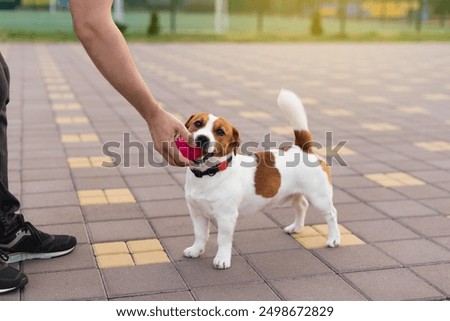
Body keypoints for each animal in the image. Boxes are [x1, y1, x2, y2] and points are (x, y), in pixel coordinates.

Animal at [181, 89, 340, 268]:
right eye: (198, 123)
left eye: (220, 132)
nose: (202, 138)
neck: (209, 174)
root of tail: (303, 148)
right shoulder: (197, 213)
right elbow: (200, 235)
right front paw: (196, 250)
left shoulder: (226, 217)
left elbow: (223, 240)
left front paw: (222, 259)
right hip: (293, 194)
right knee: (301, 206)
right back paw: (296, 228)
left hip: (320, 198)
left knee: (331, 214)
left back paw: (334, 239)